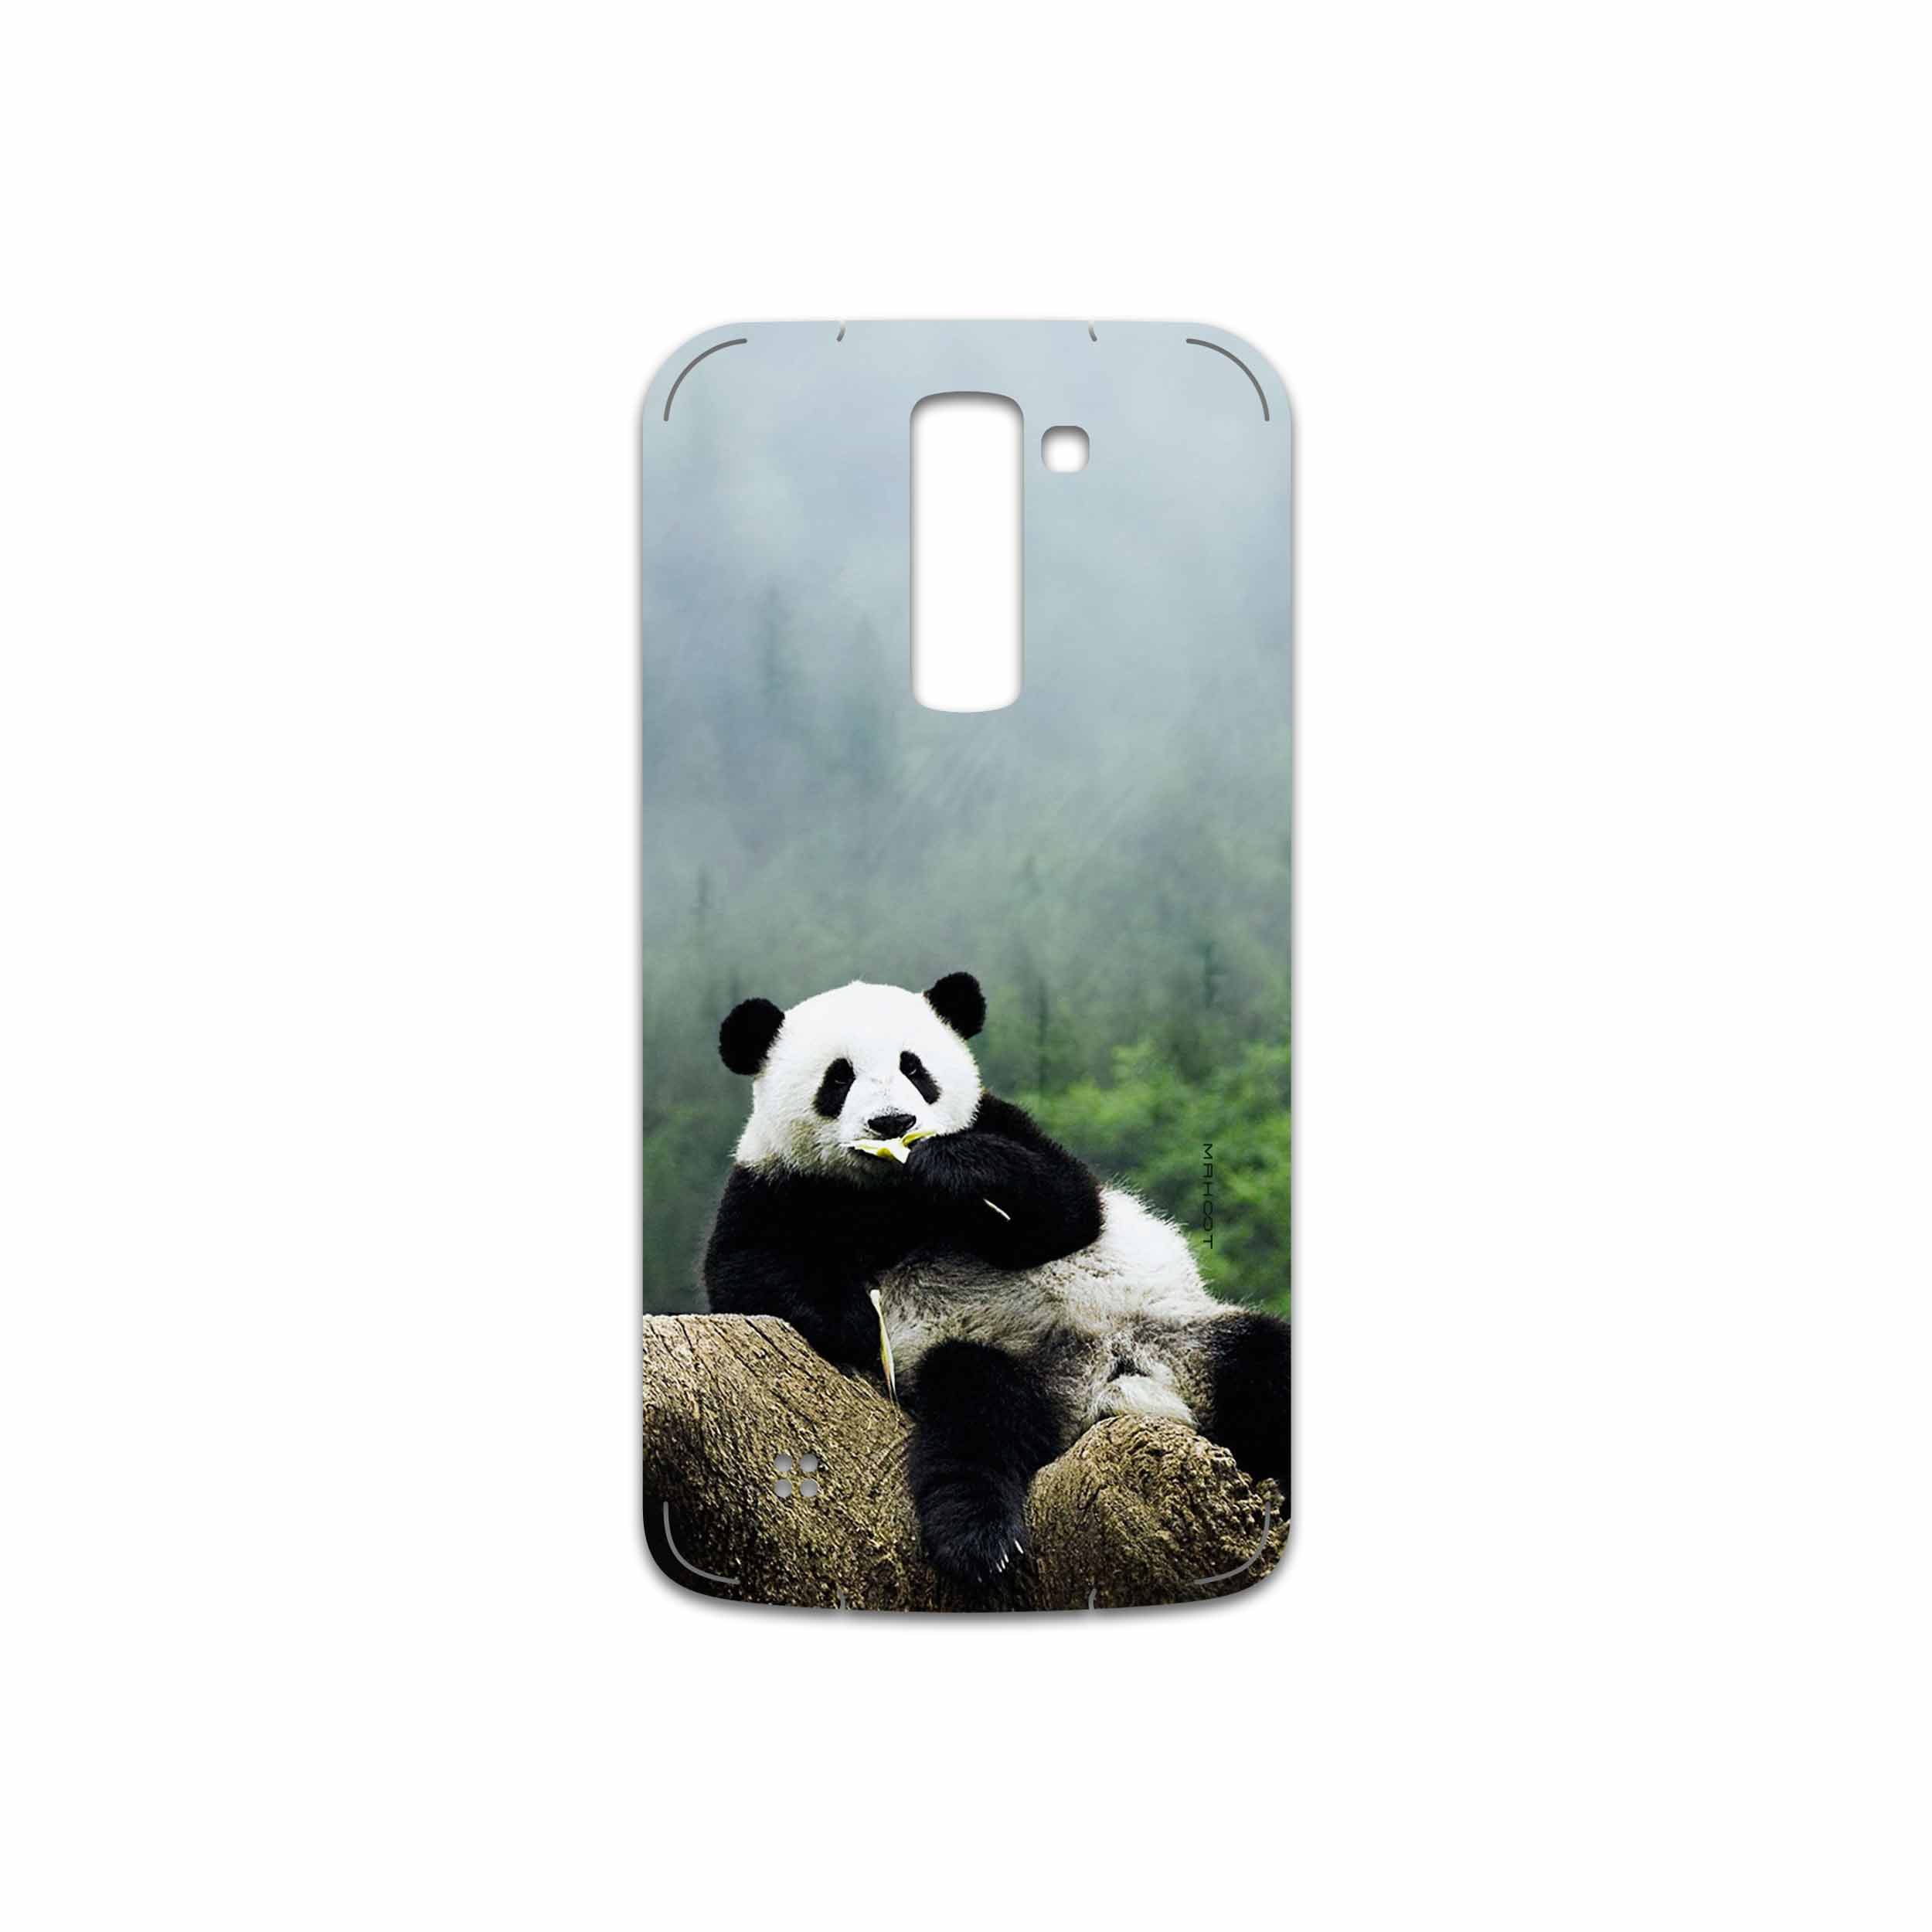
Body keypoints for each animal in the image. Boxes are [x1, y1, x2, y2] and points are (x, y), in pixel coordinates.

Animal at [704, 971, 1290, 1587]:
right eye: (839, 1078)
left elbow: (1068, 1208)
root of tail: (1101, 1386)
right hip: (989, 1357)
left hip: (1179, 1334)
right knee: (976, 1419)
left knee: (1264, 1364)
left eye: (915, 1068)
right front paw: (859, 1321)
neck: (888, 1194)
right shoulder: (774, 1184)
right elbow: (744, 1270)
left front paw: (950, 1168)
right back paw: (980, 1541)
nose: (893, 1123)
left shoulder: (1001, 1123)